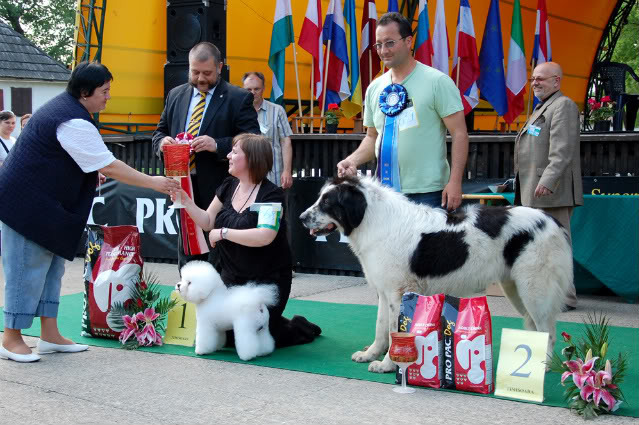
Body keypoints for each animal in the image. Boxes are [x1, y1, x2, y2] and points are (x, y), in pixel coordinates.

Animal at [302, 175, 576, 372]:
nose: (302, 217)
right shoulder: (384, 290)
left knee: (548, 330)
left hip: (535, 289)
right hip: (516, 289)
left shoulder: (397, 292)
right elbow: (381, 327)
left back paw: (542, 366)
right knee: (534, 325)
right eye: (320, 199)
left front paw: (388, 364)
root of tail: (552, 221)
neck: (373, 220)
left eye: (327, 202)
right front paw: (371, 354)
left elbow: (393, 330)